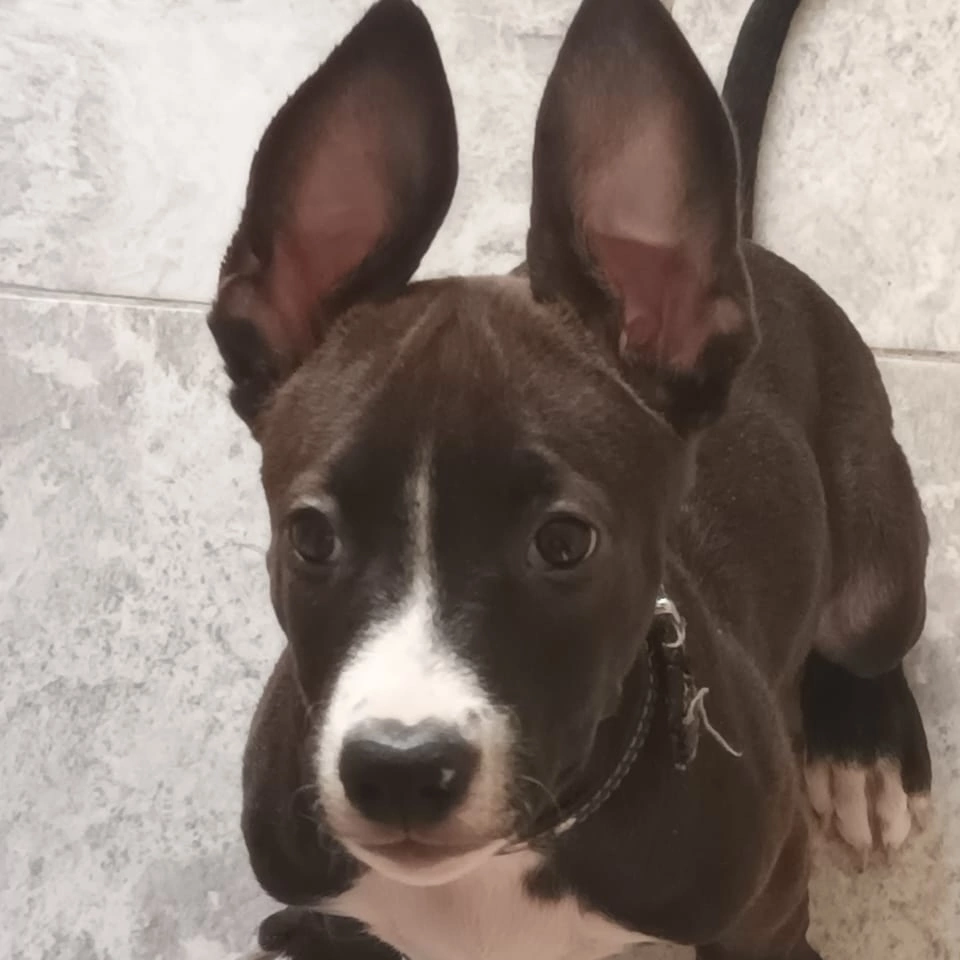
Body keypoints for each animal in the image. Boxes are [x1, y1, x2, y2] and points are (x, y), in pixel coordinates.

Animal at [207, 0, 933, 957]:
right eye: (311, 536)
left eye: (563, 542)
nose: (399, 768)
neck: (495, 873)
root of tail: (745, 245)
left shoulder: (767, 906)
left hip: (875, 556)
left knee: (872, 638)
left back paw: (863, 758)